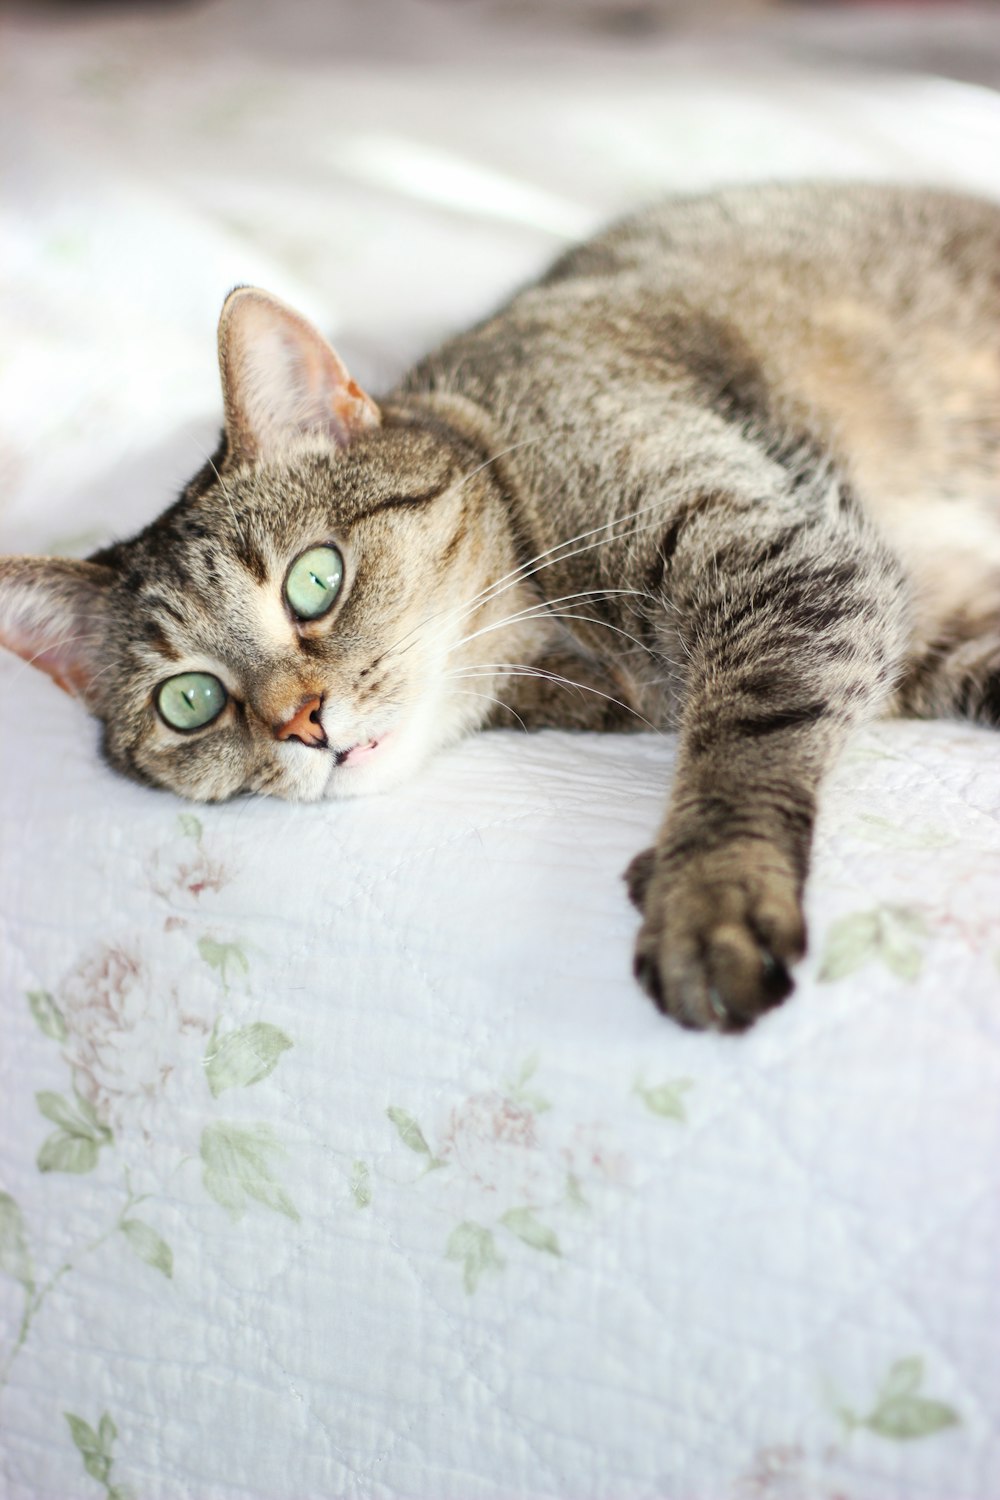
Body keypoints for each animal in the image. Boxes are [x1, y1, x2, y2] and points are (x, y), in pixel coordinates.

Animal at [1, 184, 1000, 1032]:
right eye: (190, 702)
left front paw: (710, 893)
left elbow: (740, 753)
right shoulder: (911, 615)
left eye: (314, 581)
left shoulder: (787, 561)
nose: (302, 721)